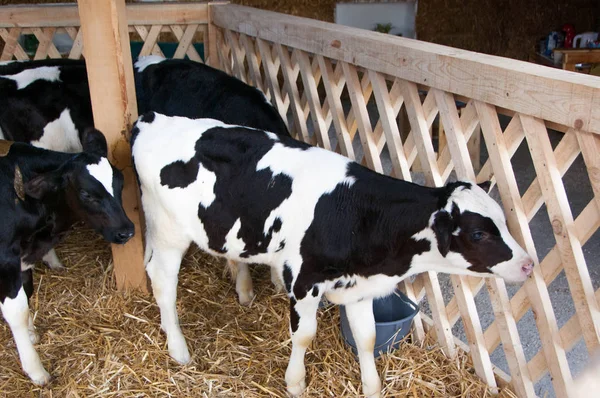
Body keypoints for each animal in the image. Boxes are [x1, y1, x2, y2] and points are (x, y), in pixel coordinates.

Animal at [0, 131, 134, 386]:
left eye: (120, 182)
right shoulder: (5, 260)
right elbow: (17, 311)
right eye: (86, 194)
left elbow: (27, 293)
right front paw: (35, 369)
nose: (127, 231)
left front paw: (31, 333)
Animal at [132, 112, 536, 398]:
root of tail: (153, 119)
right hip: (167, 230)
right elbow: (304, 336)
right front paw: (295, 383)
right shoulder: (304, 280)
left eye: (504, 219)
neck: (358, 214)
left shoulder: (359, 287)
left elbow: (367, 338)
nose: (528, 264)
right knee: (162, 282)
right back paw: (179, 350)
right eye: (479, 233)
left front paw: (372, 388)